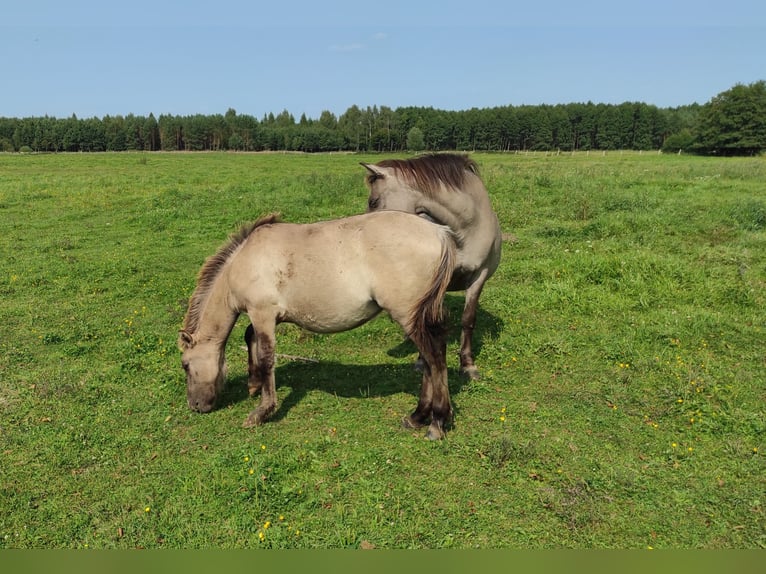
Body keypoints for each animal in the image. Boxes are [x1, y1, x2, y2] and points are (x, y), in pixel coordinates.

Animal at [179, 212, 456, 440]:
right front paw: (254, 384)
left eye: (185, 365)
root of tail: (439, 232)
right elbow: (250, 338)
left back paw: (437, 422)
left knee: (435, 358)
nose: (195, 406)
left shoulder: (262, 313)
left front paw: (262, 411)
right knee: (430, 360)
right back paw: (418, 417)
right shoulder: (266, 317)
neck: (243, 261)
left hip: (407, 315)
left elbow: (266, 356)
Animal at [364, 154, 504, 382]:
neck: (464, 229)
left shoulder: (478, 276)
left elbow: (468, 319)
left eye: (373, 201)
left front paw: (468, 365)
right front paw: (422, 362)